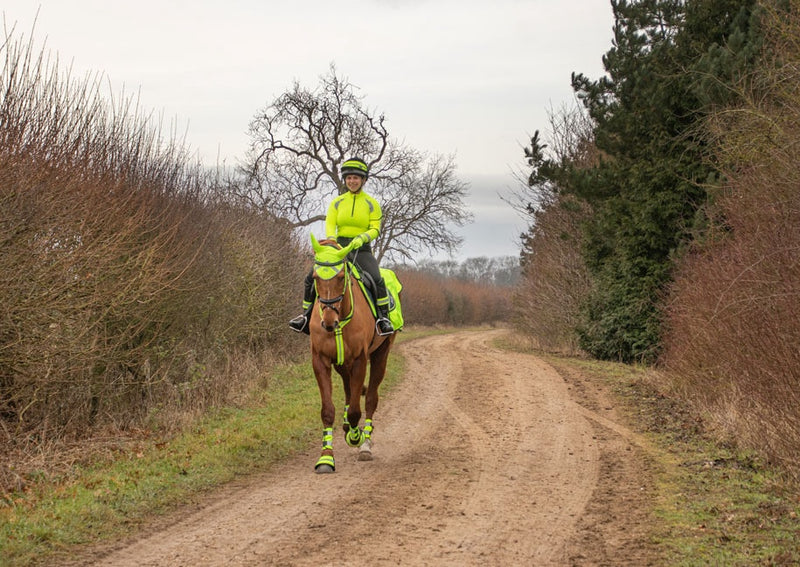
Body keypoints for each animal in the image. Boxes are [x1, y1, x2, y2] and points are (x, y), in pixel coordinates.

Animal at [306, 233, 396, 472]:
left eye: (340, 277)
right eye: (315, 277)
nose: (329, 322)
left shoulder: (359, 360)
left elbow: (357, 410)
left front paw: (356, 437)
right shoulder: (321, 360)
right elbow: (328, 410)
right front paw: (326, 458)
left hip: (380, 356)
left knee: (370, 399)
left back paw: (365, 444)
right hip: (341, 363)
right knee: (349, 391)